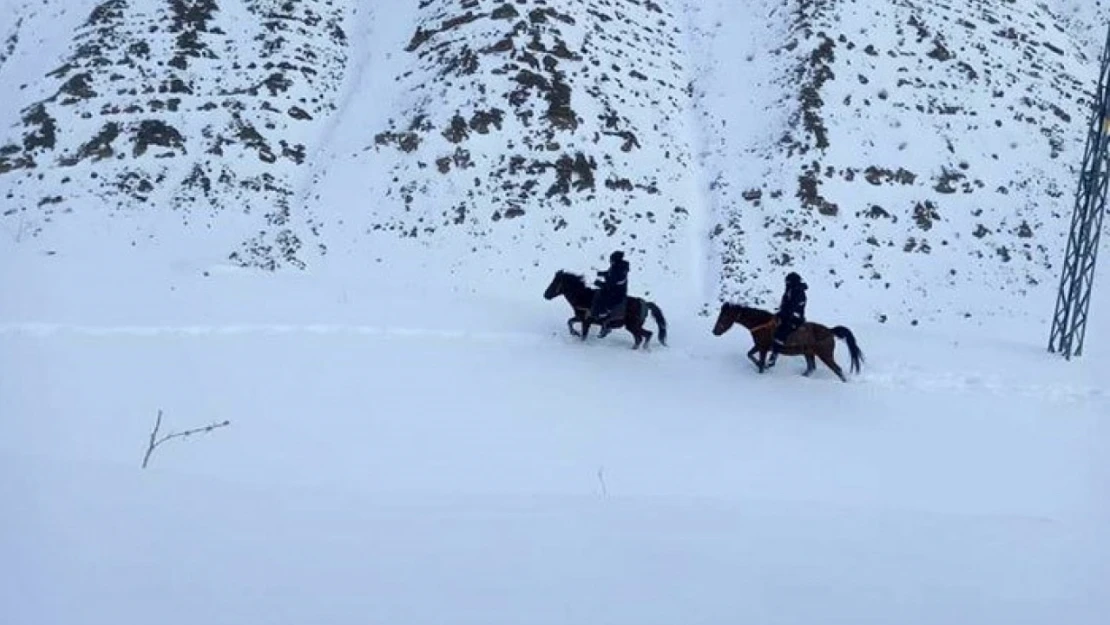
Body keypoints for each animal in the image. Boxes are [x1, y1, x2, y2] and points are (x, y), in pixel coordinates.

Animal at [710, 304, 865, 381]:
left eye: (724, 316)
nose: (715, 331)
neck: (762, 324)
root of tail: (830, 330)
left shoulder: (763, 348)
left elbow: (758, 361)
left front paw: (763, 368)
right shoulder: (760, 346)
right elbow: (749, 355)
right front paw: (765, 366)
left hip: (825, 355)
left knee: (837, 370)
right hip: (808, 353)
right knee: (811, 368)